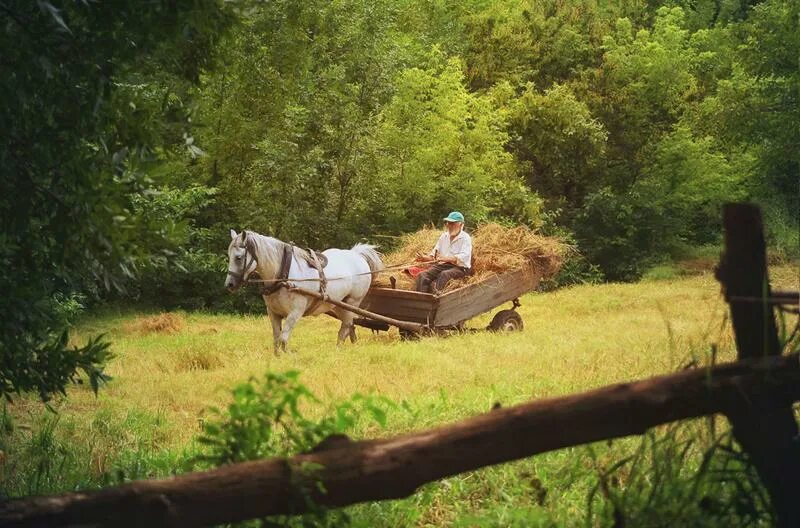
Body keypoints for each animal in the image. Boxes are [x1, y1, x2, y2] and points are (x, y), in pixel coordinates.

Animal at [225, 231, 384, 354]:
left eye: (238, 257)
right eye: (229, 256)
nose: (229, 284)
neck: (283, 275)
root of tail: (357, 255)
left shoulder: (295, 312)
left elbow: (283, 339)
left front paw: (288, 355)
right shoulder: (273, 312)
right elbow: (276, 339)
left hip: (352, 302)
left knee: (345, 327)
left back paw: (337, 349)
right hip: (339, 304)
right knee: (350, 325)